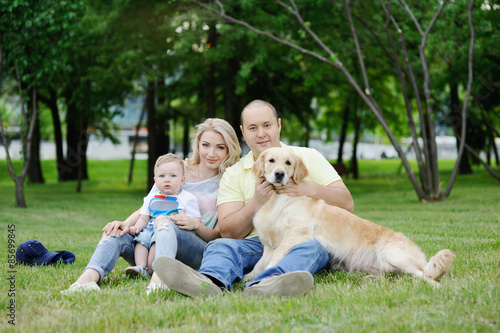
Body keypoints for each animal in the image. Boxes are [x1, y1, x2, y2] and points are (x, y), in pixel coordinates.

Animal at [246, 147, 458, 284]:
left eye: (288, 163)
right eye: (271, 161)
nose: (279, 174)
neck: (277, 200)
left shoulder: (295, 233)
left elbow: (275, 258)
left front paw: (264, 275)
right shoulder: (268, 244)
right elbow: (260, 263)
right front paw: (249, 276)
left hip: (391, 253)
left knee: (427, 275)